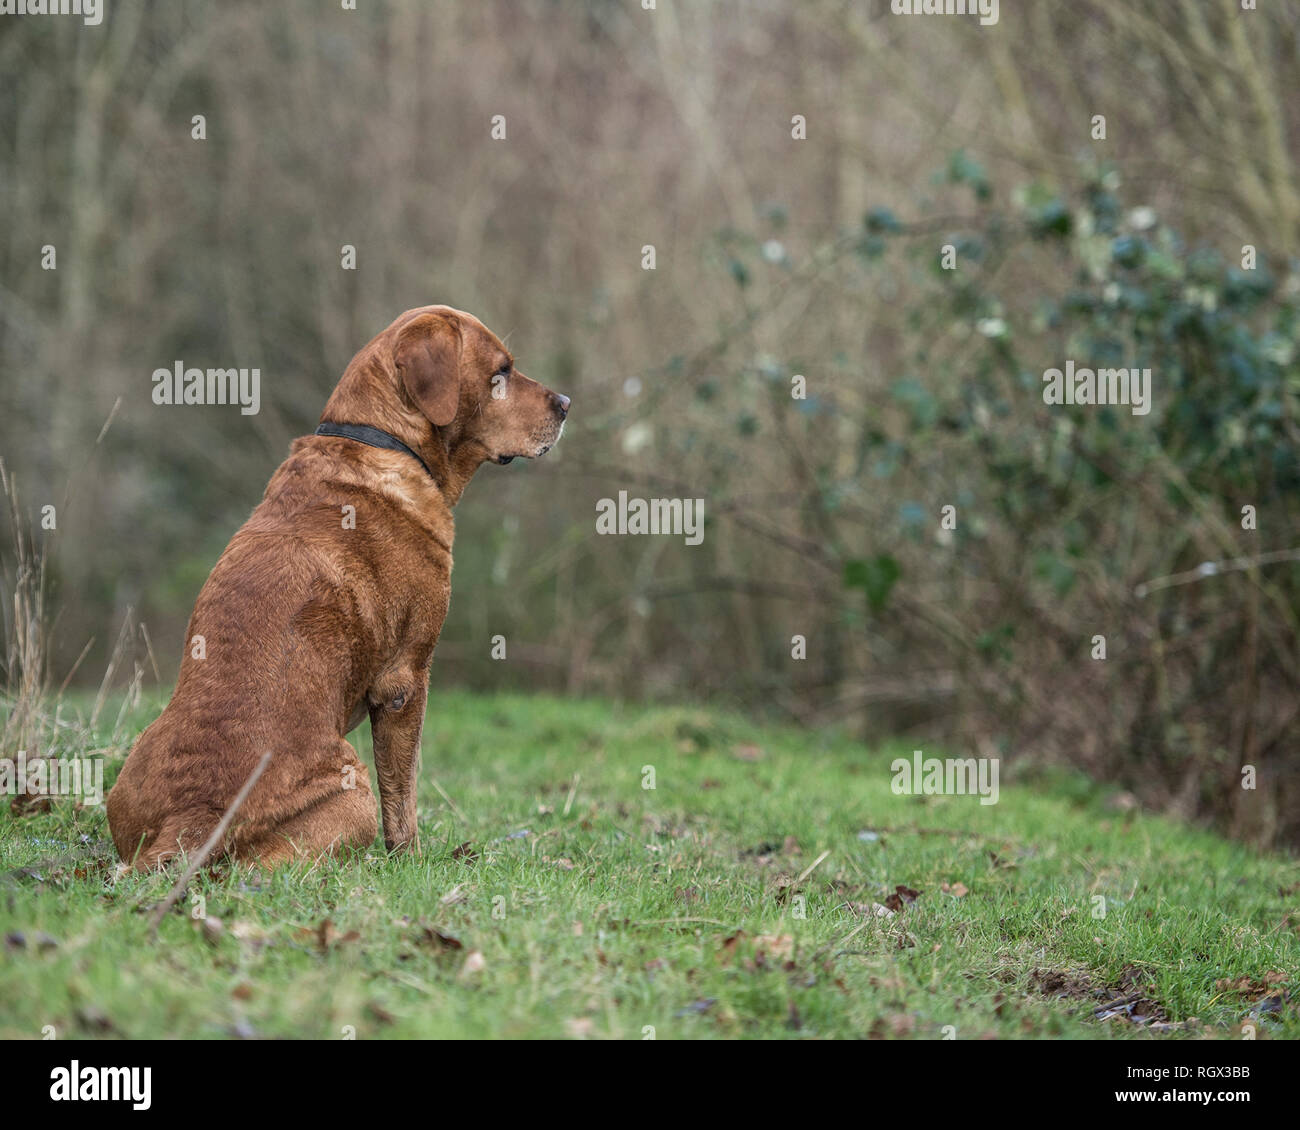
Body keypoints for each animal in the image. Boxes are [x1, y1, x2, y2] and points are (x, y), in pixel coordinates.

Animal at [111, 304, 574, 868]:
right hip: (353, 793)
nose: (567, 404)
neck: (382, 439)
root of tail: (189, 822)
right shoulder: (405, 680)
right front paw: (409, 860)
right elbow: (404, 793)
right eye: (501, 372)